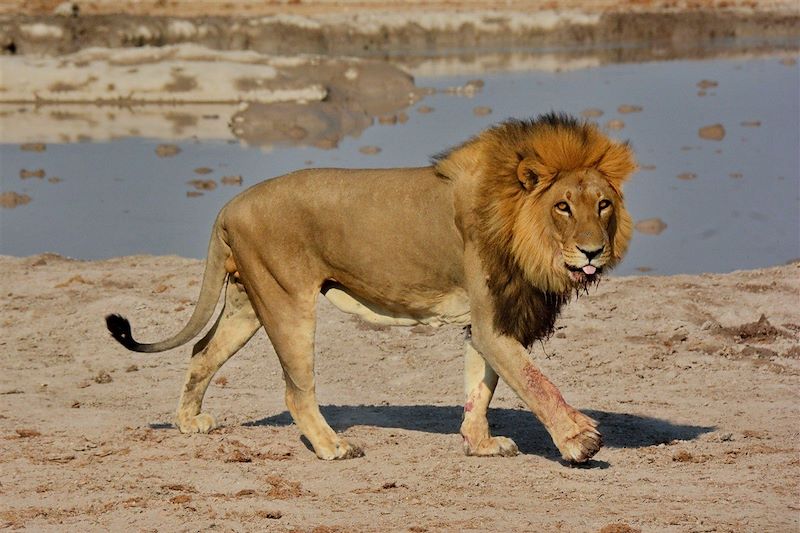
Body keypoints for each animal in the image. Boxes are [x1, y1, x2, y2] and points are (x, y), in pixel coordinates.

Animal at [106, 112, 636, 462]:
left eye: (603, 204)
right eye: (563, 206)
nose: (593, 252)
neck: (519, 225)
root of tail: (229, 205)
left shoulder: (488, 320)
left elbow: (480, 386)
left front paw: (480, 444)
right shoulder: (492, 321)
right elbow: (533, 381)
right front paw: (579, 441)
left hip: (247, 302)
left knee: (201, 351)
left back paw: (188, 422)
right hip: (287, 302)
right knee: (296, 390)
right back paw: (333, 447)